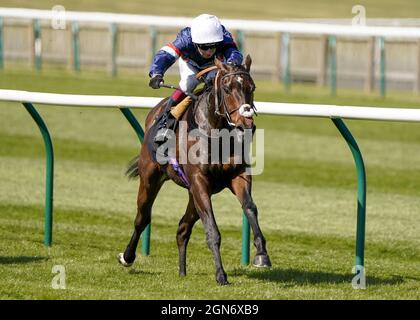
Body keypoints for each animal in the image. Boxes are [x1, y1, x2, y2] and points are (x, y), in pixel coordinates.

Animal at [117, 55, 272, 284]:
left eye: (251, 87)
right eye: (227, 88)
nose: (246, 123)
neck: (216, 131)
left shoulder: (236, 176)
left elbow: (250, 208)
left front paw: (262, 255)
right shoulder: (199, 180)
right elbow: (212, 229)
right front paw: (221, 275)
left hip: (194, 192)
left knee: (183, 228)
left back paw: (182, 271)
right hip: (150, 178)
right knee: (142, 218)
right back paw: (127, 257)